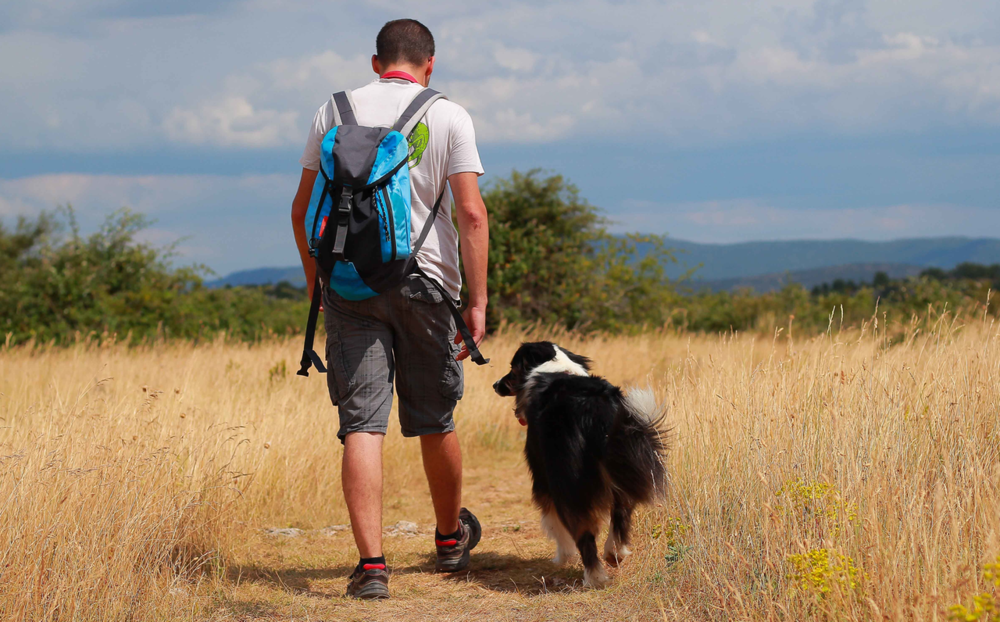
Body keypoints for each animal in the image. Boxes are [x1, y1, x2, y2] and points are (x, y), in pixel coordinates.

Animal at [490, 344, 668, 588]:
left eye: (512, 368)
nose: (495, 384)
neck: (553, 366)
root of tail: (595, 409)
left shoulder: (542, 476)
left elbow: (553, 522)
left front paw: (563, 556)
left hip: (566, 478)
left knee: (583, 532)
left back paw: (594, 577)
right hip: (621, 464)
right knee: (621, 513)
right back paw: (614, 554)